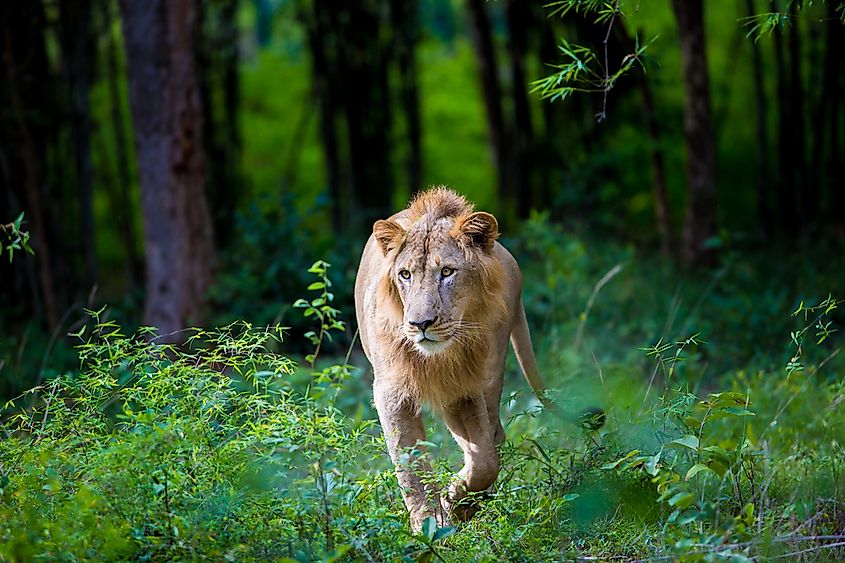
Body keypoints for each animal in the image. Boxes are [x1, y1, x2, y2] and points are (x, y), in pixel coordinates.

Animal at [354, 187, 597, 531]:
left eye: (446, 272)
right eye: (405, 275)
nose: (420, 324)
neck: (439, 358)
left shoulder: (465, 388)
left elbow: (484, 460)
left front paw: (456, 505)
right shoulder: (392, 391)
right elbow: (410, 462)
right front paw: (428, 523)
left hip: (492, 373)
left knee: (495, 435)